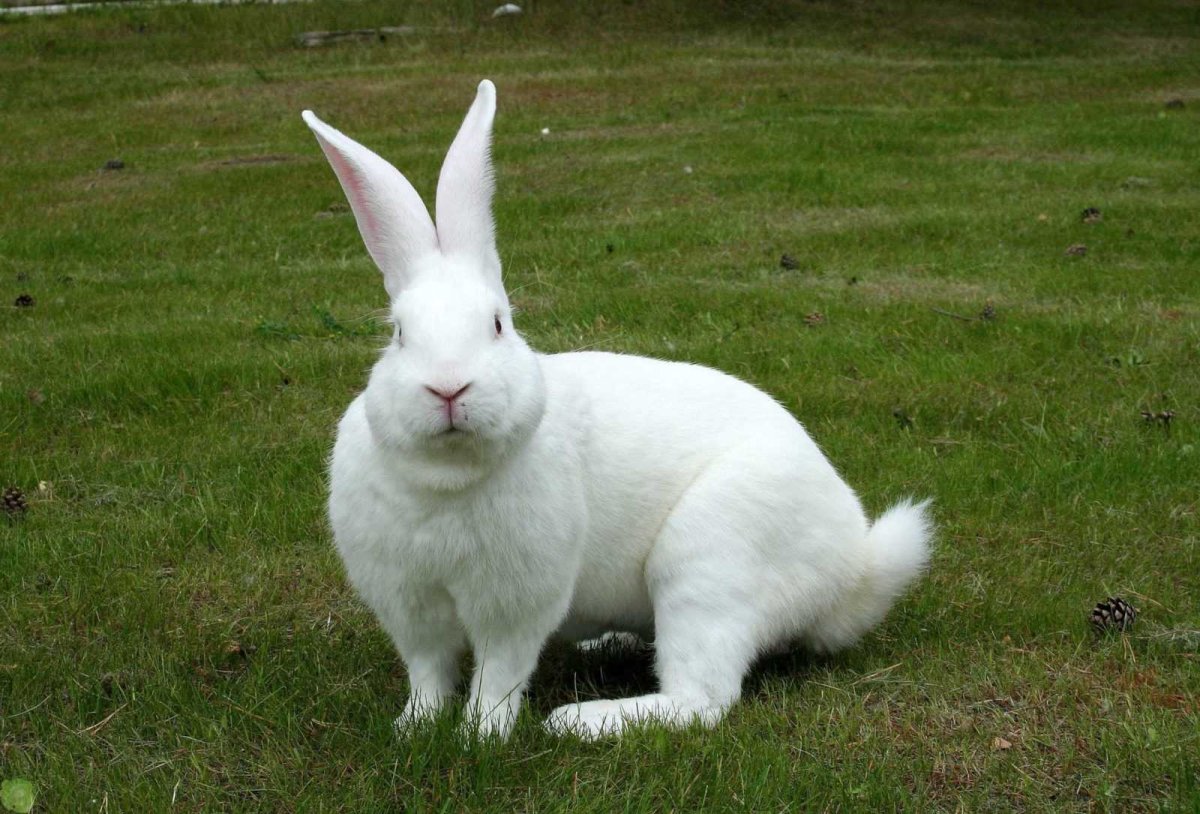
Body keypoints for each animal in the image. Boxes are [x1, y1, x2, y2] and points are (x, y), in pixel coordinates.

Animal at [303, 80, 933, 741]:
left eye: (498, 324)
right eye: (398, 333)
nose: (449, 388)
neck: (447, 479)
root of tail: (854, 567)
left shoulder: (516, 602)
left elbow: (499, 674)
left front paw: (481, 735)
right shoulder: (410, 603)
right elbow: (428, 671)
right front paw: (415, 727)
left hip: (710, 562)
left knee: (701, 700)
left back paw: (581, 720)